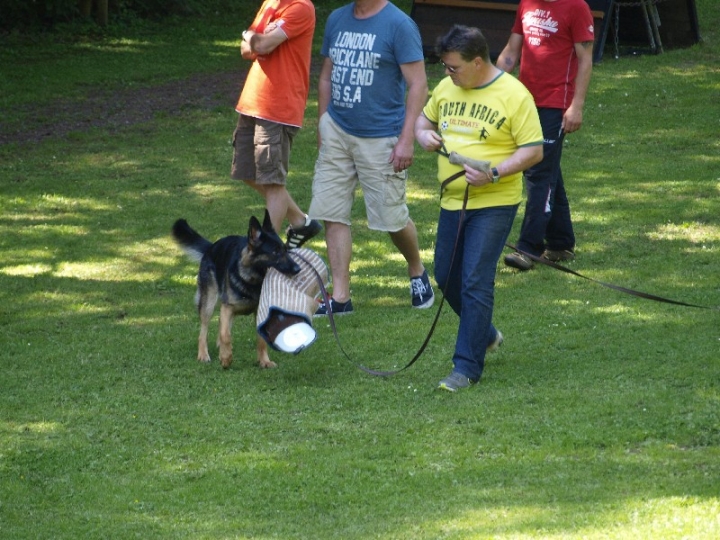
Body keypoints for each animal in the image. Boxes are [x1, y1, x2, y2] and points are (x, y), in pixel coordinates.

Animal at [172, 211, 300, 372]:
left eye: (285, 250)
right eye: (275, 252)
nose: (298, 269)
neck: (253, 280)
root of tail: (212, 247)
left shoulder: (259, 312)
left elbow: (260, 340)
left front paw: (264, 361)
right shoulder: (227, 307)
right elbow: (225, 335)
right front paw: (226, 359)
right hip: (208, 304)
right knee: (204, 331)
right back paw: (203, 354)